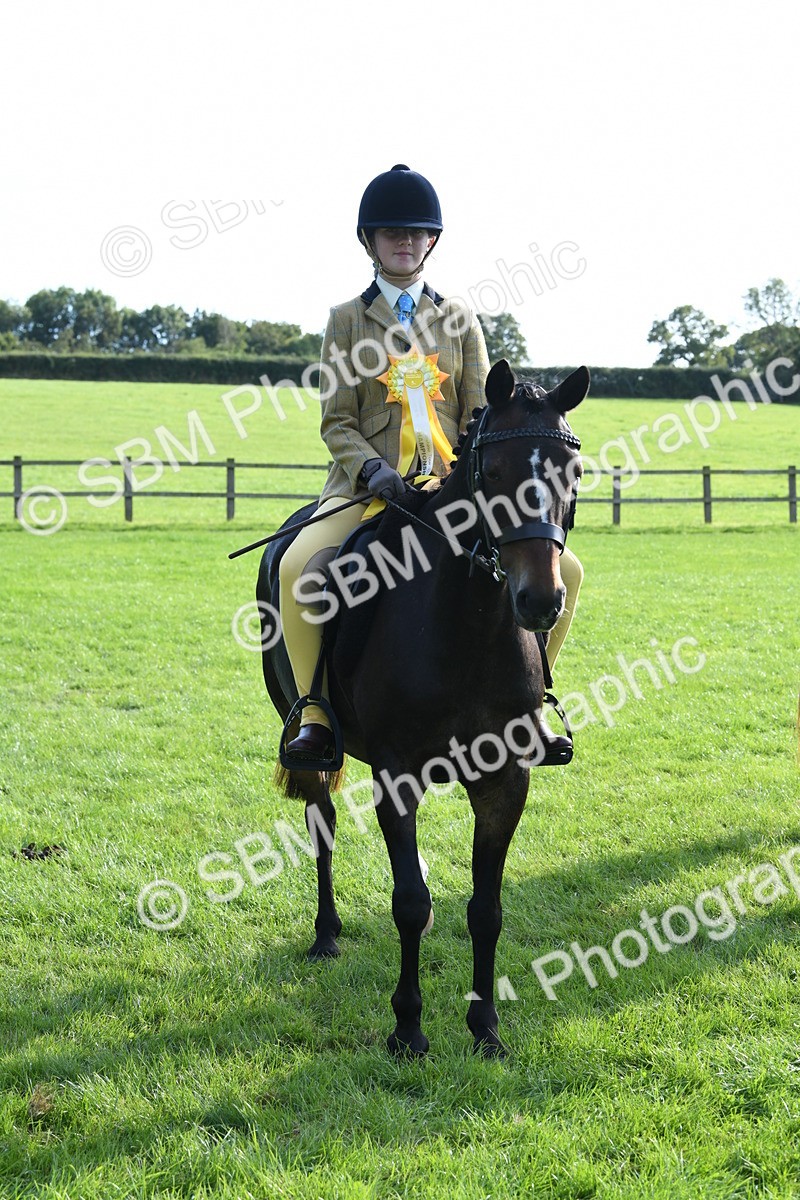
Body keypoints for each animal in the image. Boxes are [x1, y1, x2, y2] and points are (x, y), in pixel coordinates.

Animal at [257, 359, 589, 1056]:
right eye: (495, 473)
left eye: (572, 473)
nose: (539, 602)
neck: (465, 626)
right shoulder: (397, 776)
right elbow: (409, 901)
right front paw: (407, 1027)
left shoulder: (504, 780)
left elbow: (485, 909)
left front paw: (485, 1027)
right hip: (309, 739)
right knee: (322, 823)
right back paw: (326, 934)